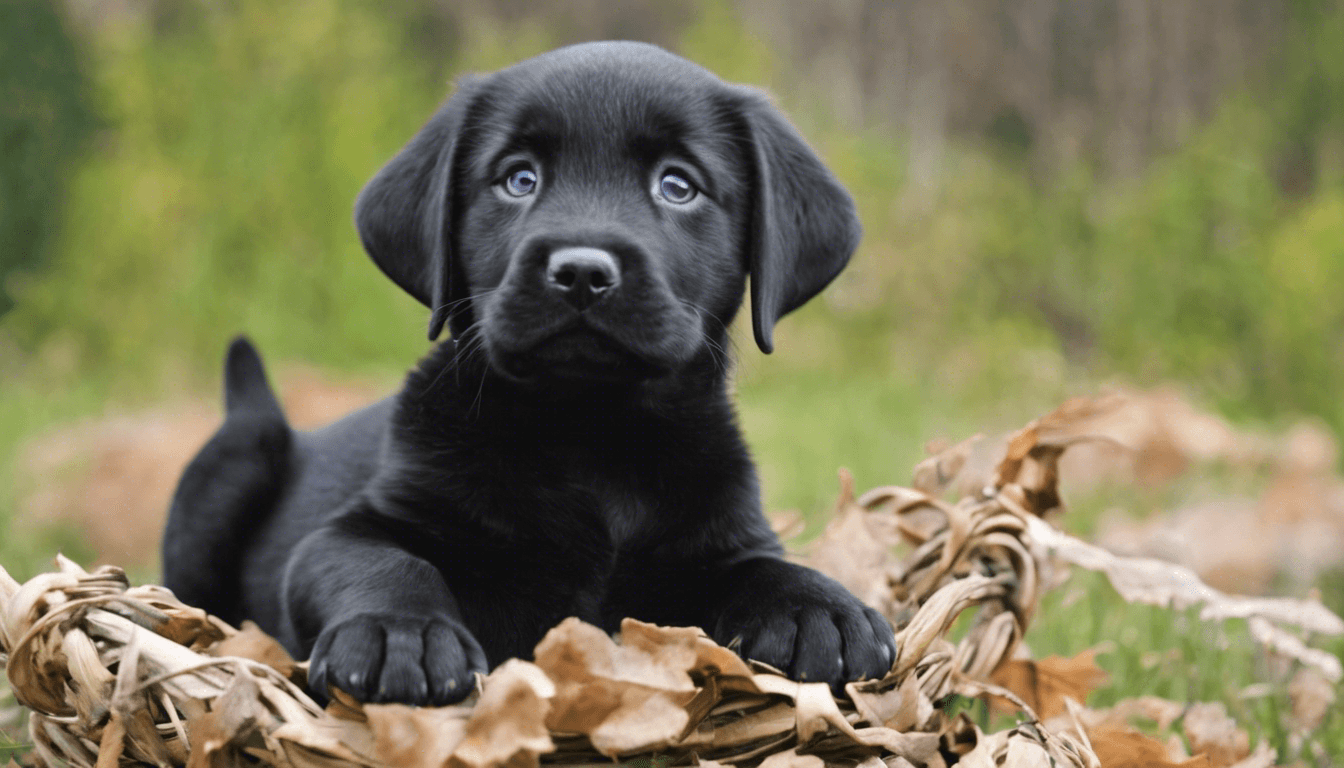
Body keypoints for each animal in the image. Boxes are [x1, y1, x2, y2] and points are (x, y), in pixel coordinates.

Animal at [162, 39, 897, 704]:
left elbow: (763, 567)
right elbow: (381, 560)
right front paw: (400, 634)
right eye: (519, 178)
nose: (582, 272)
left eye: (678, 185)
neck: (587, 436)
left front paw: (823, 609)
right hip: (237, 456)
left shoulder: (720, 539)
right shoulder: (342, 533)